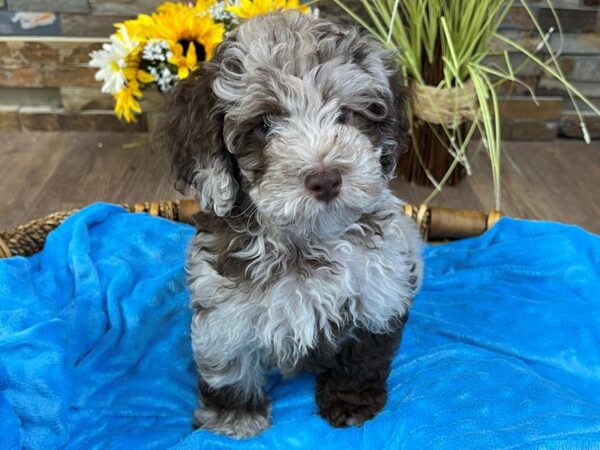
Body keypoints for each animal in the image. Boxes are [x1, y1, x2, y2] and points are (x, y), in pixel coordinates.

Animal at [163, 10, 422, 440]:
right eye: (265, 125)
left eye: (345, 114)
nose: (326, 179)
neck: (307, 238)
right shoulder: (223, 309)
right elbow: (228, 361)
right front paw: (234, 418)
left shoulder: (380, 288)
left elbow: (363, 353)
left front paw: (351, 403)